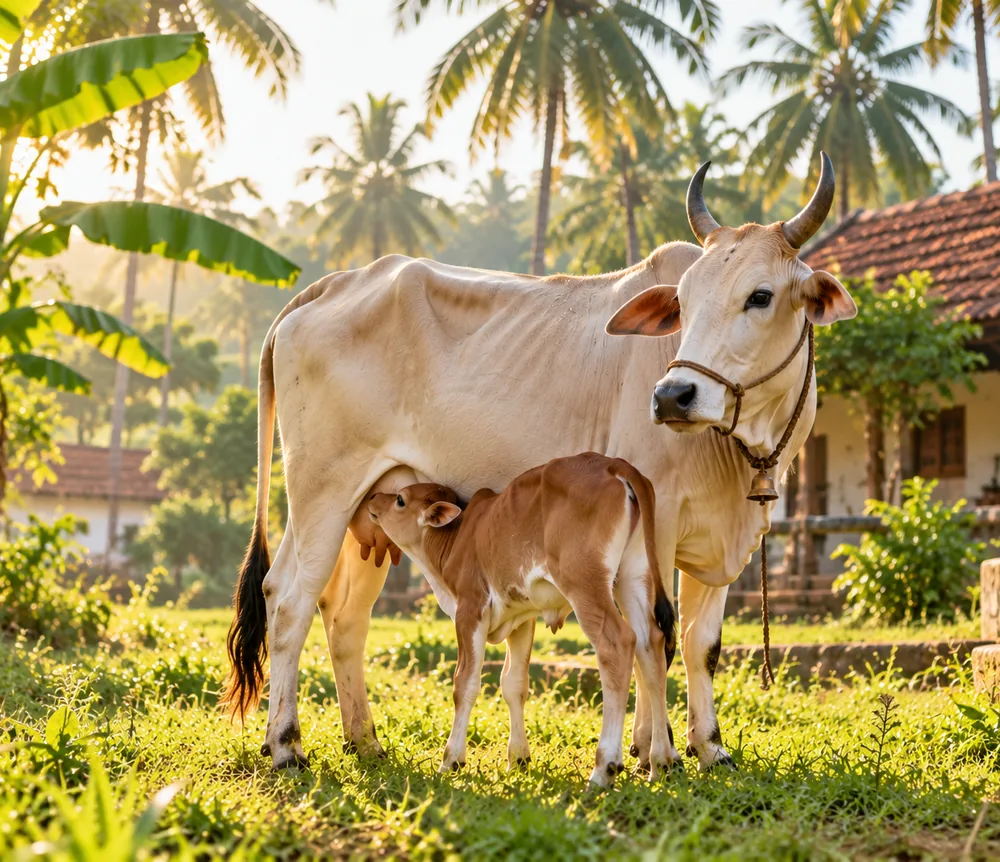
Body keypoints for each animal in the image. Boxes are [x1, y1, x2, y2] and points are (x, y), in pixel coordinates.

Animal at [367, 453, 678, 787]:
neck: (459, 537)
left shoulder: (470, 609)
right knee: (651, 646)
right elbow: (514, 684)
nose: (373, 497)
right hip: (632, 577)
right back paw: (661, 761)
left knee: (618, 644)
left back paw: (604, 767)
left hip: (585, 583)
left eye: (400, 499)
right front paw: (519, 758)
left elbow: (465, 683)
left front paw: (451, 759)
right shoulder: (520, 618)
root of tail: (612, 464)